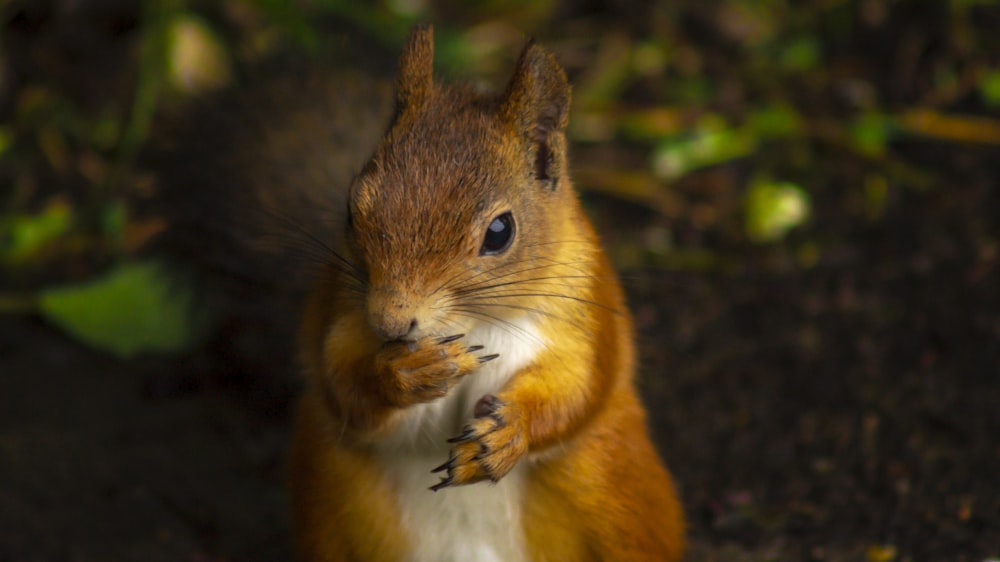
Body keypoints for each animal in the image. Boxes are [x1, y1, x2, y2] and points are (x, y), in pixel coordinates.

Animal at [150, 21, 688, 560]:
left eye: (500, 232)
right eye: (352, 208)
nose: (390, 321)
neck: (474, 324)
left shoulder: (585, 310)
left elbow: (580, 388)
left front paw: (509, 433)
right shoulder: (342, 311)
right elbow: (343, 384)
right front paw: (409, 370)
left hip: (612, 487)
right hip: (333, 499)